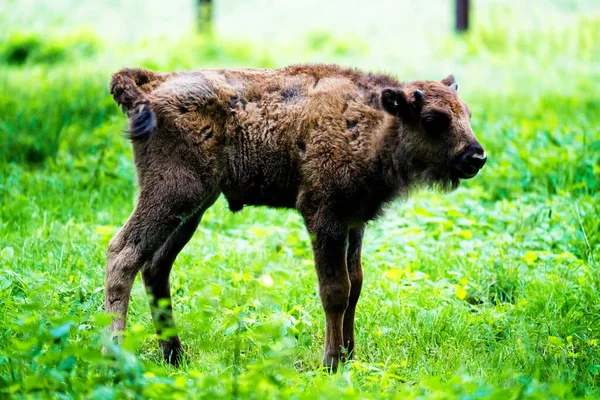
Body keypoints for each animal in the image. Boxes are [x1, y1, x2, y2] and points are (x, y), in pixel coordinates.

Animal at [104, 63, 488, 372]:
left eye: (467, 114)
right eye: (433, 119)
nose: (476, 156)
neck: (376, 122)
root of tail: (154, 83)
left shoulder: (354, 223)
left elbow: (356, 284)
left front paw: (351, 355)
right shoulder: (324, 219)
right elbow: (335, 289)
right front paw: (331, 361)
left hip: (193, 208)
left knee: (156, 265)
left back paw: (174, 355)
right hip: (172, 194)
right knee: (123, 254)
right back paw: (115, 355)